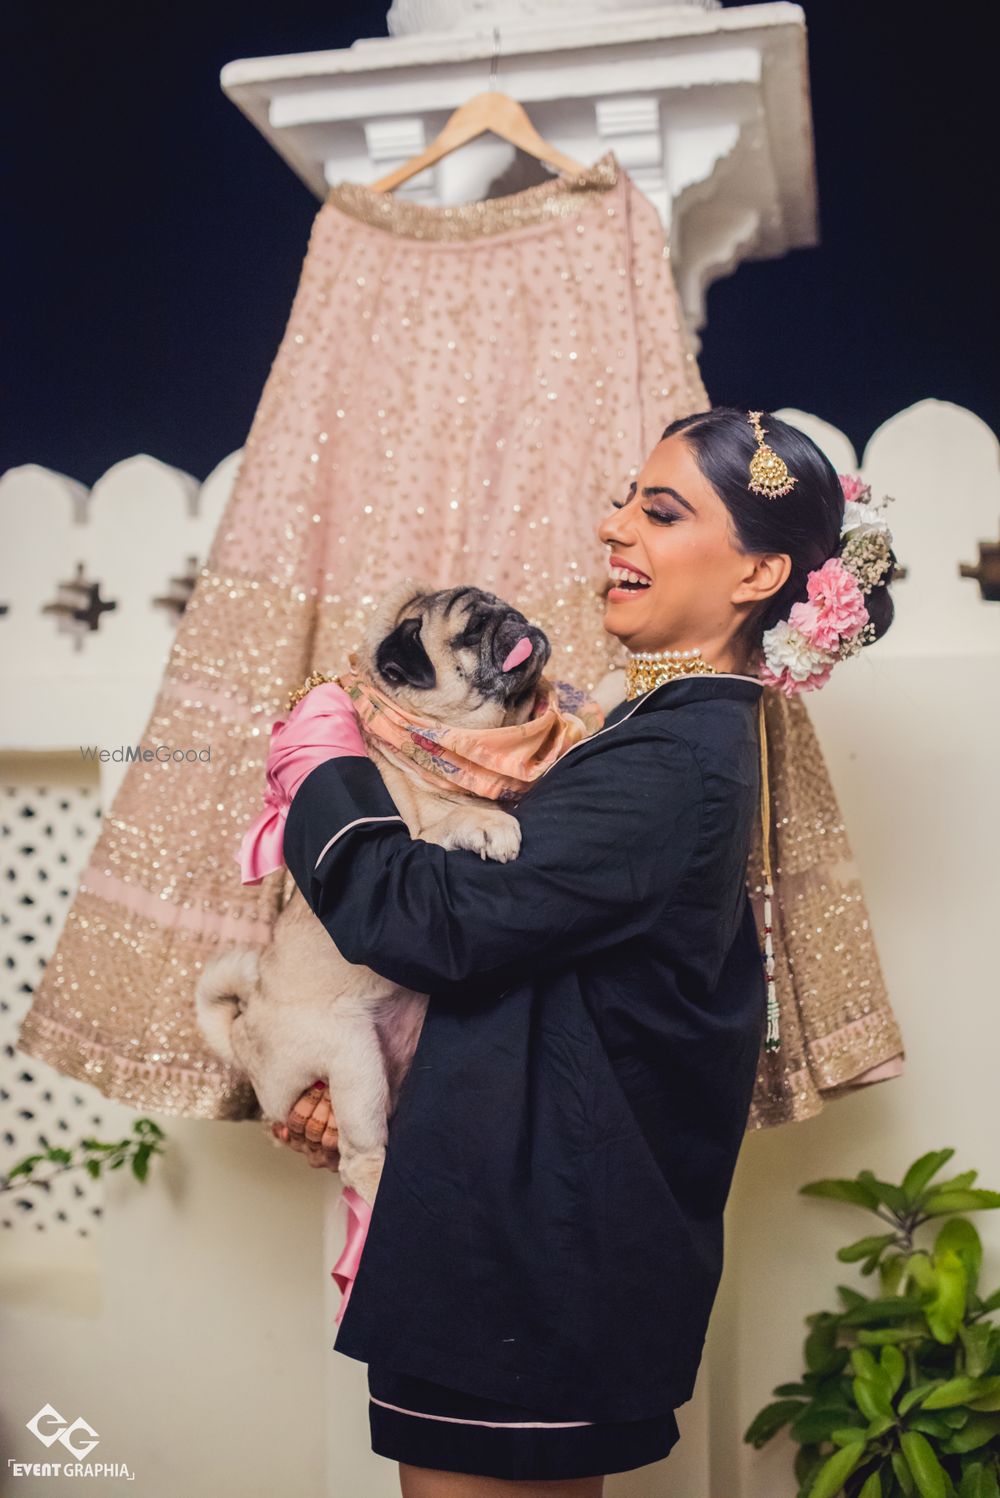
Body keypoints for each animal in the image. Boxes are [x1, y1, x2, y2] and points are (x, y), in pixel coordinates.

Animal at [194, 575, 553, 1204]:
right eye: (470, 632)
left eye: (506, 607)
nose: (515, 620)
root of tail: (244, 1035)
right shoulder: (412, 843)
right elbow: (454, 821)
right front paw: (488, 823)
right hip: (353, 1058)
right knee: (356, 1159)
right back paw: (382, 1180)